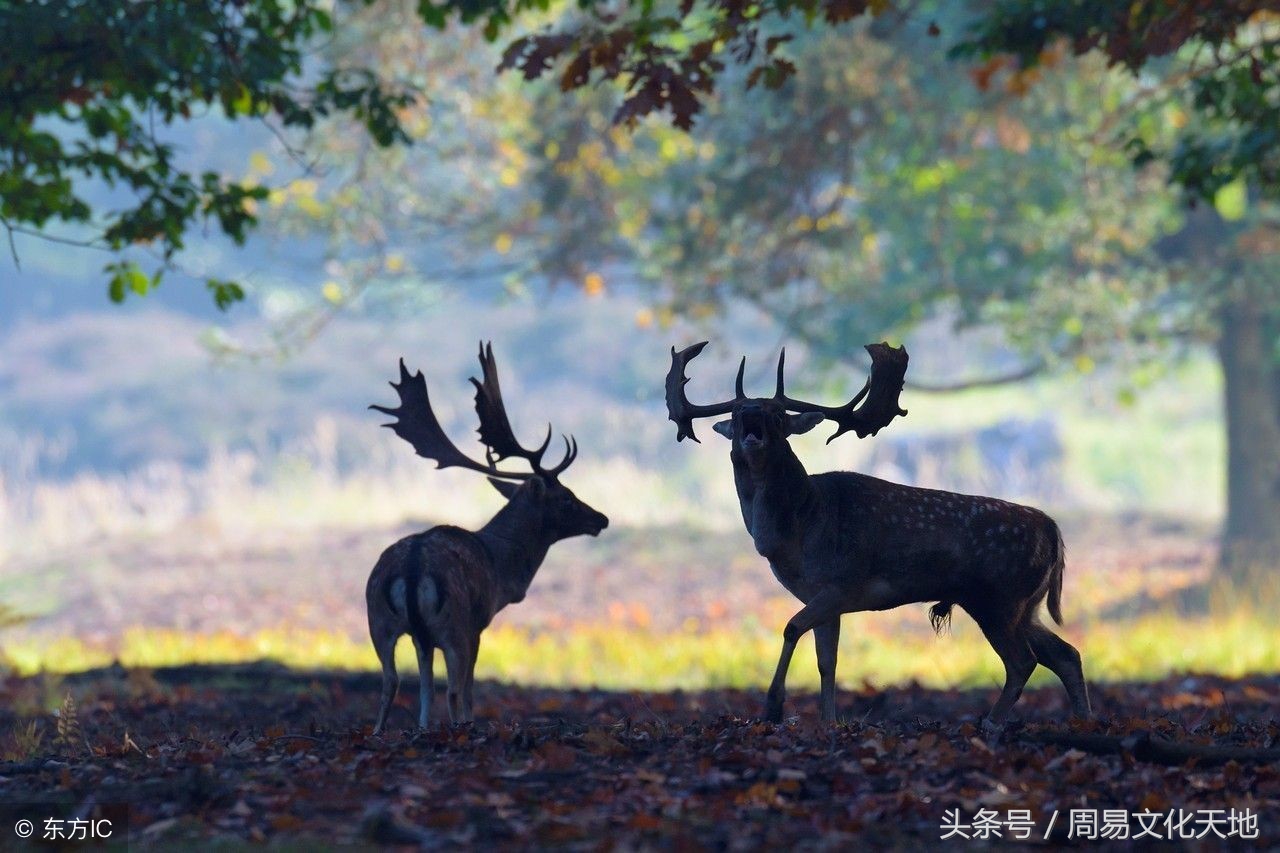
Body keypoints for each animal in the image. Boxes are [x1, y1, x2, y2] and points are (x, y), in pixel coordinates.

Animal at [366, 340, 609, 732]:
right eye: (567, 498)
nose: (601, 518)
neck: (500, 565)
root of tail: (413, 568)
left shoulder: (423, 637)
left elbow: (425, 685)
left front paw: (422, 727)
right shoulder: (478, 624)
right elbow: (466, 688)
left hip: (378, 619)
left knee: (391, 682)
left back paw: (381, 731)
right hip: (454, 623)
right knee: (452, 688)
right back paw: (460, 728)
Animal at [660, 343, 1090, 727]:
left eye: (778, 413)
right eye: (736, 411)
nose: (751, 411)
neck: (800, 529)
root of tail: (1053, 530)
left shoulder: (841, 583)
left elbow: (791, 628)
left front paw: (774, 708)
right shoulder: (821, 596)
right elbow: (827, 661)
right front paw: (828, 722)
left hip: (999, 598)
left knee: (1023, 661)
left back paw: (991, 724)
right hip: (1023, 604)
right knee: (1066, 653)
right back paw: (1083, 722)